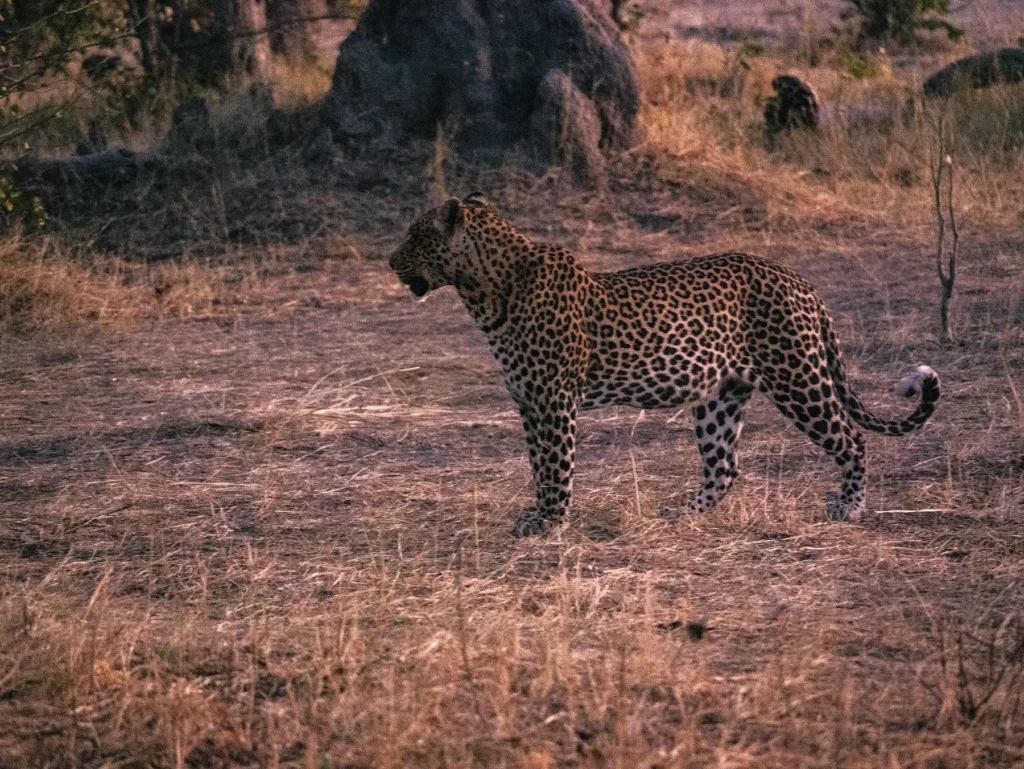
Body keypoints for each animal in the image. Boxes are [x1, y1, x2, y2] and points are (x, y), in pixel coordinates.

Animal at [389, 193, 940, 536]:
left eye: (414, 235)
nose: (389, 262)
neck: (484, 290)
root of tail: (797, 278)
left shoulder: (553, 400)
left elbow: (557, 464)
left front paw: (549, 522)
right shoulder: (527, 402)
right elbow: (538, 464)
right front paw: (539, 515)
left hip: (797, 378)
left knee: (852, 438)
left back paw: (849, 507)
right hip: (720, 396)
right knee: (724, 467)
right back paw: (679, 513)